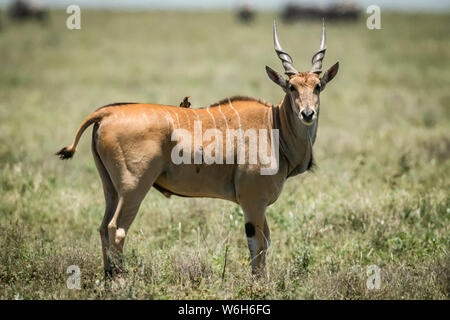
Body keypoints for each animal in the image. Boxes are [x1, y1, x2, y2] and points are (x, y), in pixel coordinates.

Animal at [56, 21, 338, 278]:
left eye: (317, 86)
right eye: (291, 87)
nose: (307, 113)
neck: (274, 124)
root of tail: (107, 112)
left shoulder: (257, 204)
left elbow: (264, 243)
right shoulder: (253, 201)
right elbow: (257, 246)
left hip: (111, 189)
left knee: (103, 228)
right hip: (133, 187)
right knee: (117, 229)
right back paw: (121, 283)